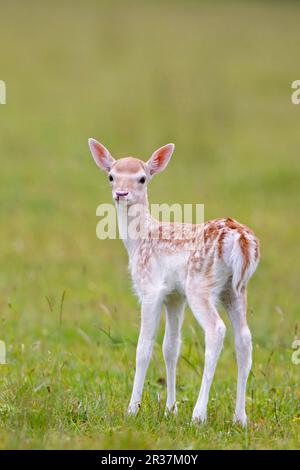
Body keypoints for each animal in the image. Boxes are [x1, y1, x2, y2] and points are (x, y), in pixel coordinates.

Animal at [88, 137, 258, 426]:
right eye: (111, 175)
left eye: (142, 178)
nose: (121, 193)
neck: (138, 241)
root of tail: (241, 240)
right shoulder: (174, 296)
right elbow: (170, 347)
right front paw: (170, 408)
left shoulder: (150, 289)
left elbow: (143, 347)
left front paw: (132, 409)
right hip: (234, 290)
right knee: (244, 338)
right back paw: (240, 417)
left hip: (200, 285)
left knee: (216, 330)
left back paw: (199, 414)